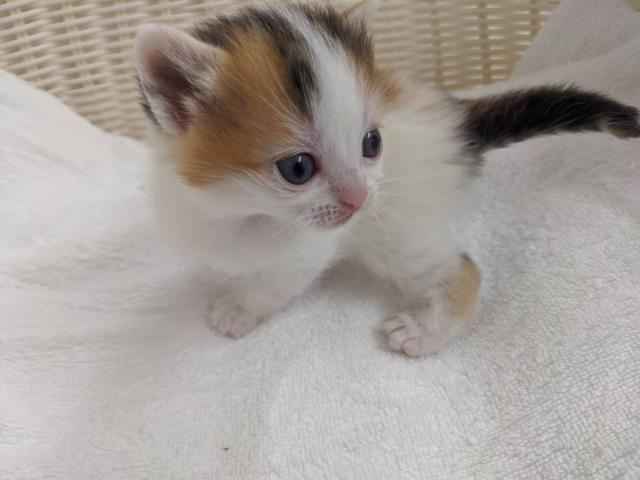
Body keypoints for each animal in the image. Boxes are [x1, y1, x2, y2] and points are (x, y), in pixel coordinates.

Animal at [134, 0, 640, 356]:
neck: (242, 212)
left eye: (372, 143)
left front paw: (239, 310)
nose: (359, 199)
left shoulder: (308, 250)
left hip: (398, 229)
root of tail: (453, 123)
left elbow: (277, 283)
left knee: (461, 267)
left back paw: (425, 331)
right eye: (298, 168)